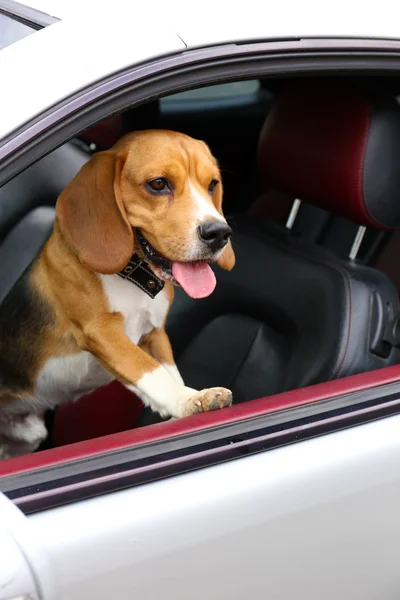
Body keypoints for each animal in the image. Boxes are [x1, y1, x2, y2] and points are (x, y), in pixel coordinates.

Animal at [0, 130, 234, 460]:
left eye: (212, 184)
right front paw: (186, 399)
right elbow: (148, 370)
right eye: (158, 184)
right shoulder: (102, 333)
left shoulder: (154, 333)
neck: (134, 276)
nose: (219, 233)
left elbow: (167, 372)